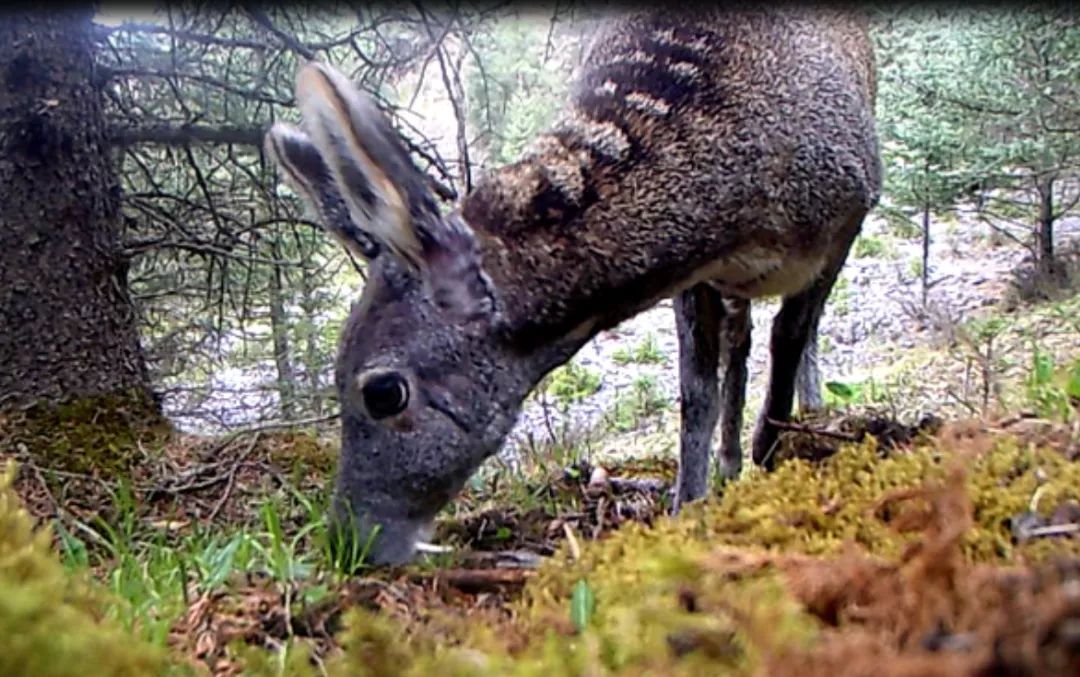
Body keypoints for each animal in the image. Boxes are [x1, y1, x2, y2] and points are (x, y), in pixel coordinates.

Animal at [265, 7, 881, 565]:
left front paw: (771, 459)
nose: (348, 542)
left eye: (383, 391)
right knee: (741, 341)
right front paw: (690, 504)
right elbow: (696, 392)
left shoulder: (852, 213)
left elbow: (789, 341)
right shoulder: (699, 275)